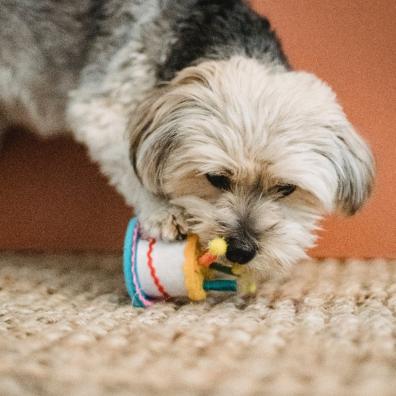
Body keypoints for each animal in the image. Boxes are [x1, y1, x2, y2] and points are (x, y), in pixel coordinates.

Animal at [0, 0, 374, 278]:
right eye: (216, 178)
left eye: (286, 189)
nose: (241, 250)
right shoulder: (102, 109)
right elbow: (133, 166)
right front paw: (164, 212)